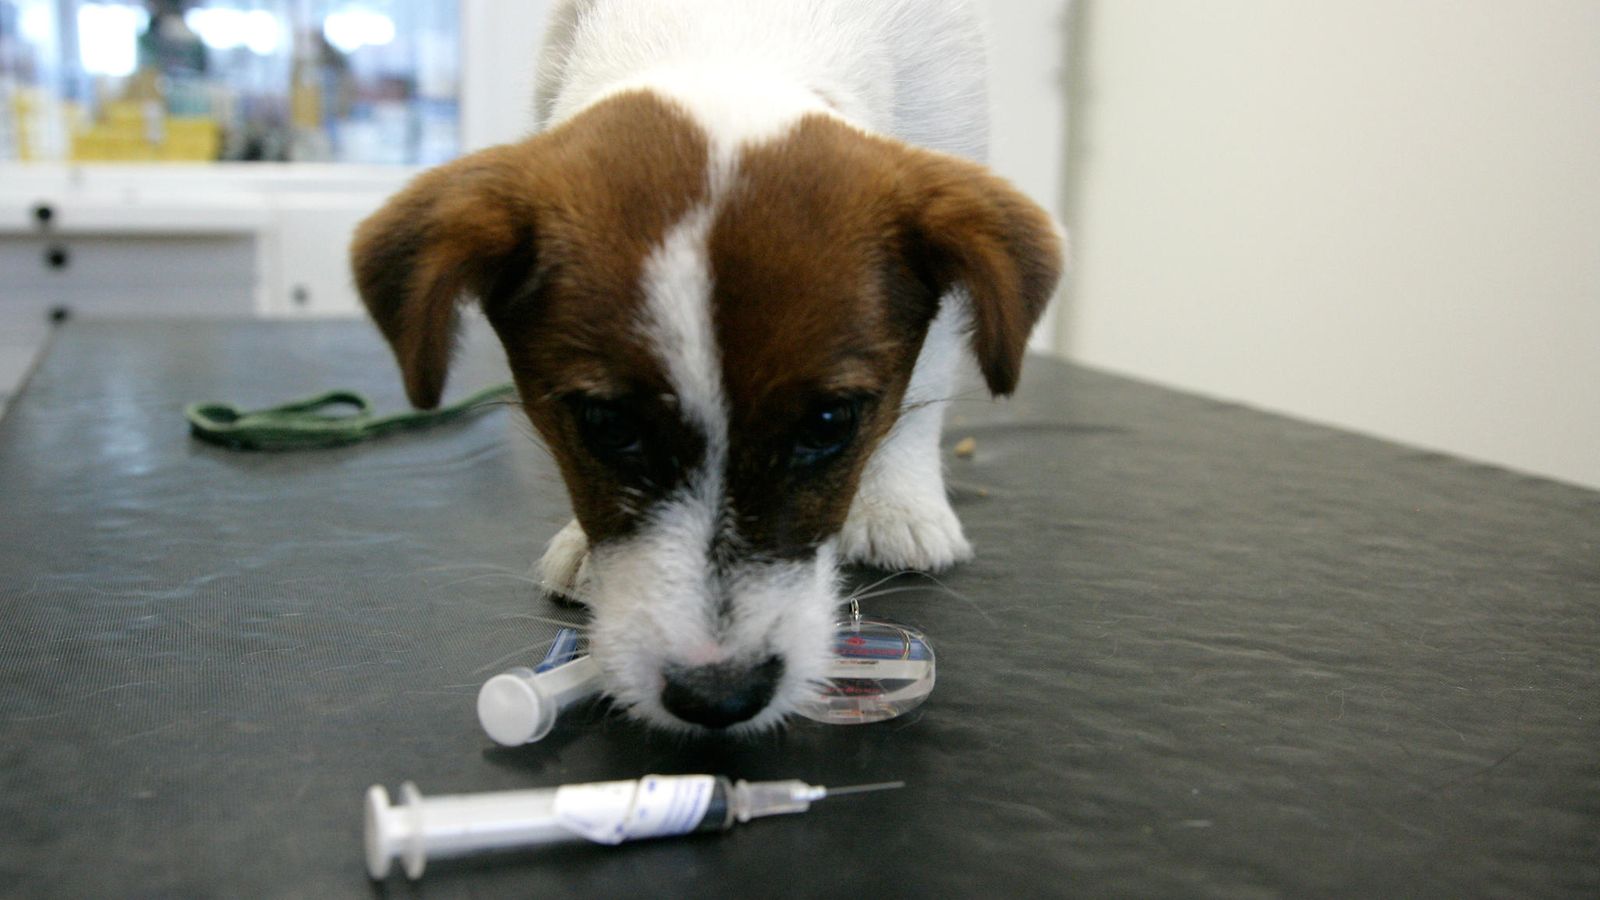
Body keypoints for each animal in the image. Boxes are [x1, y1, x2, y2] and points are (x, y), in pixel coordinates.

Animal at [356, 0, 1068, 730]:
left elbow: (928, 376)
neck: (735, 31)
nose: (719, 696)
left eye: (830, 422)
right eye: (606, 425)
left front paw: (898, 501)